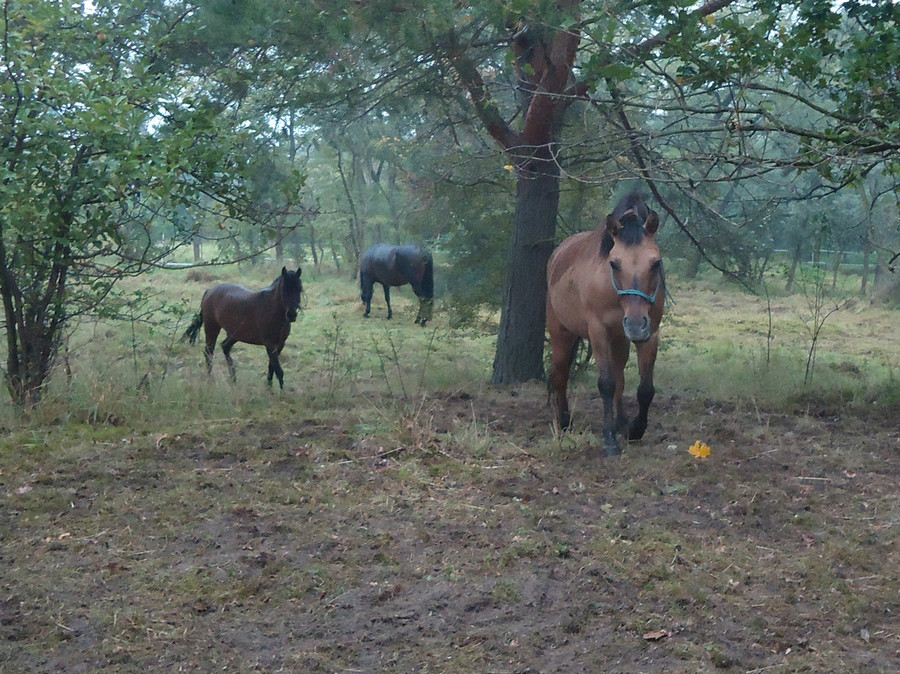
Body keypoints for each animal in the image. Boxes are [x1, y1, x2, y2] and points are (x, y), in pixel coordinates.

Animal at [546, 193, 665, 456]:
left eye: (655, 263)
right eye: (614, 264)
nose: (635, 325)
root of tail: (557, 254)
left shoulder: (650, 334)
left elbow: (645, 389)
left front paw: (635, 429)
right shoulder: (598, 331)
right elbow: (607, 384)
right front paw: (610, 440)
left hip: (620, 339)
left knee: (619, 375)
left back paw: (621, 422)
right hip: (561, 333)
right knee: (560, 375)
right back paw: (564, 423)